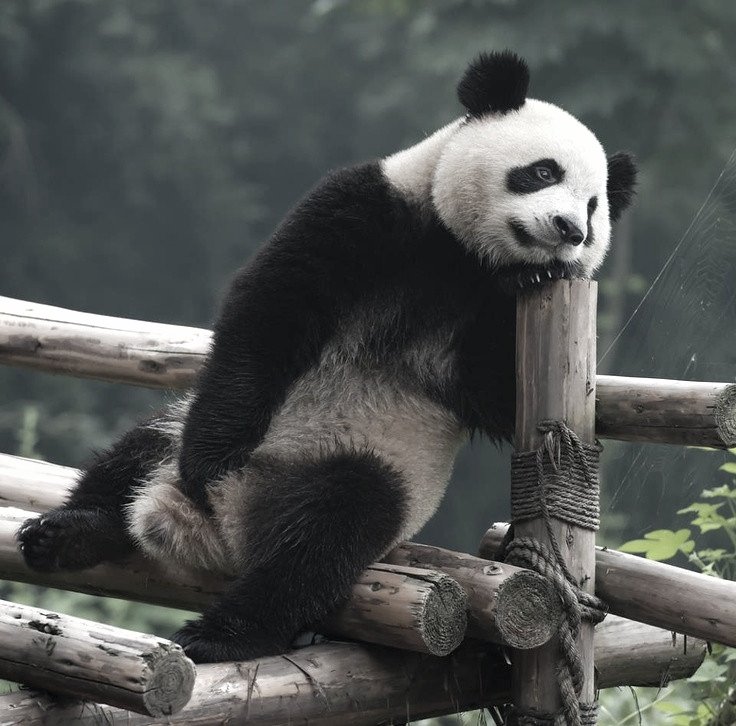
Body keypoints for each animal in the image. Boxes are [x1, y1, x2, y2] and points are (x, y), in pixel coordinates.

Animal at [17, 51, 636, 663]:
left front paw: (535, 274)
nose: (568, 229)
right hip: (203, 434)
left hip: (374, 470)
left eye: (593, 208)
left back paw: (223, 632)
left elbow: (499, 397)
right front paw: (210, 458)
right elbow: (271, 312)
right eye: (543, 171)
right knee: (144, 445)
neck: (462, 254)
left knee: (328, 531)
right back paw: (70, 531)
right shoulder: (370, 209)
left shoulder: (480, 314)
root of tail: (217, 533)